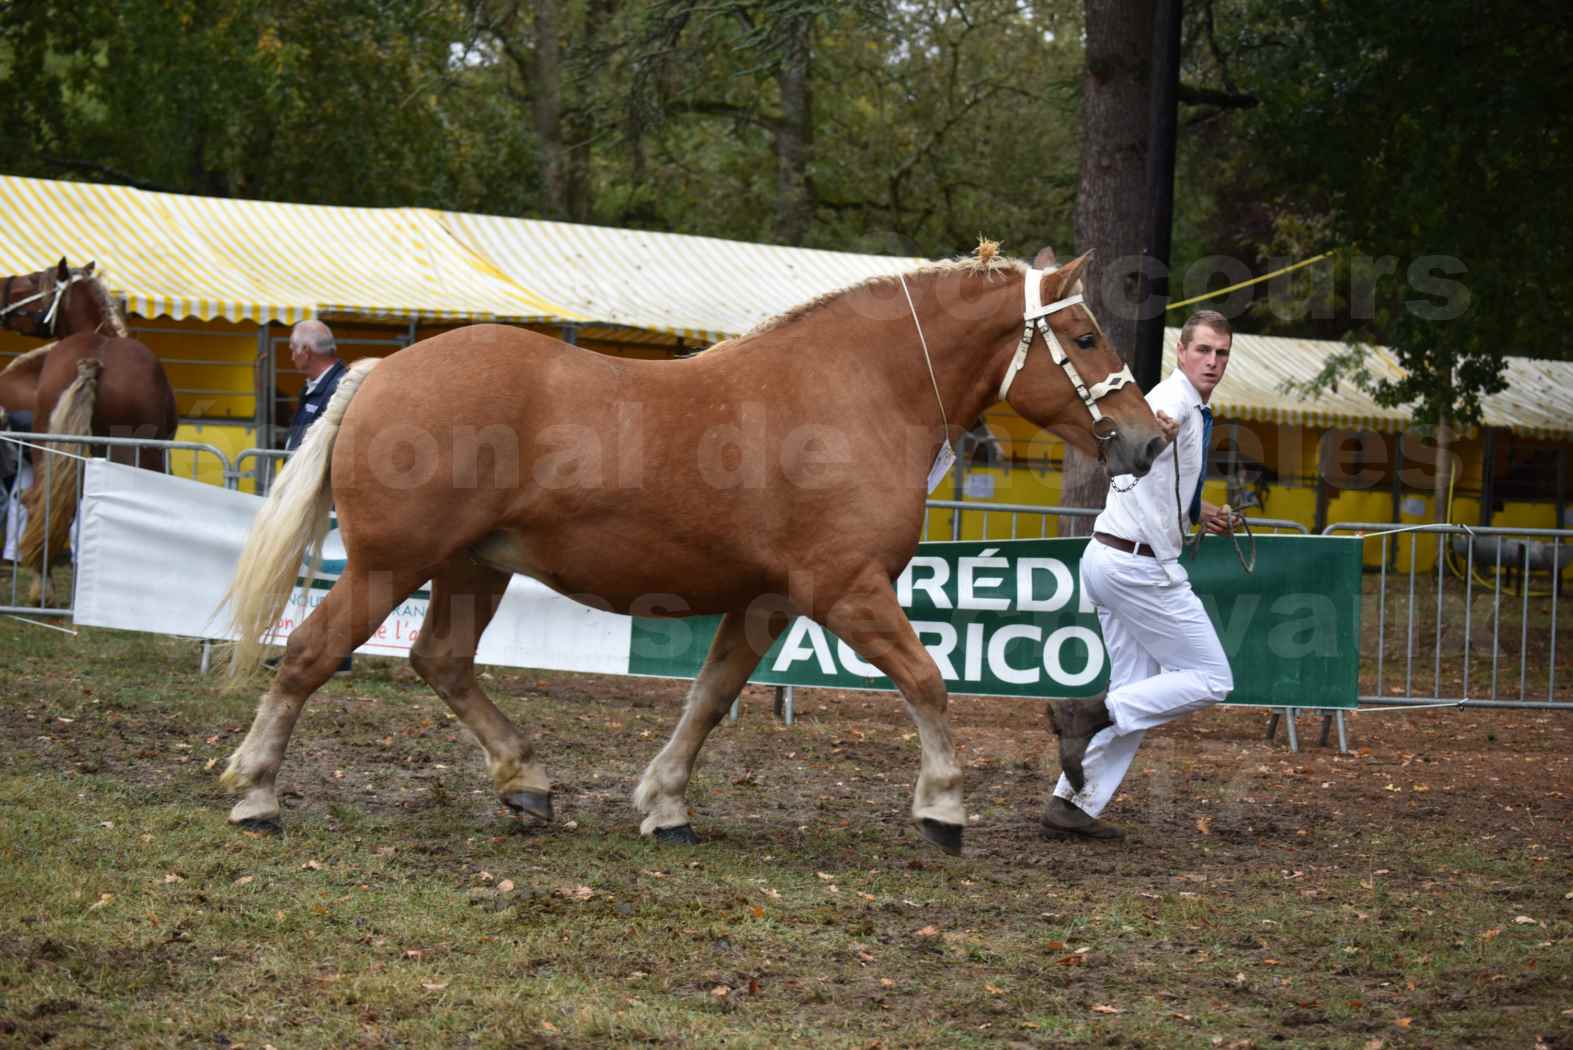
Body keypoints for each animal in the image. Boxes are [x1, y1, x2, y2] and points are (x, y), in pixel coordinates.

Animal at [215, 248, 1164, 855]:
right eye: (1085, 339)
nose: (1148, 440)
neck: (856, 395)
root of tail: (379, 372)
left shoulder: (765, 600)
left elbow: (708, 700)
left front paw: (665, 805)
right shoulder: (845, 590)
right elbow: (927, 681)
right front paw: (943, 808)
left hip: (474, 566)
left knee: (440, 661)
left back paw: (525, 779)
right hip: (391, 564)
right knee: (309, 654)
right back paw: (256, 792)